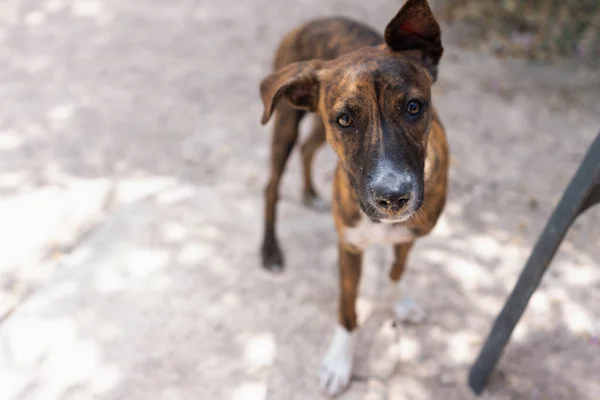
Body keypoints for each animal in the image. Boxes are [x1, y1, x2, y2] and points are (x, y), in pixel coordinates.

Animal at [258, 0, 450, 394]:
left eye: (414, 107)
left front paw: (401, 303)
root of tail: (316, 20)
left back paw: (310, 193)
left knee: (307, 149)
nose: (393, 198)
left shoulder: (410, 235)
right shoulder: (348, 248)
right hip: (284, 120)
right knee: (271, 186)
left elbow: (396, 269)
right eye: (345, 119)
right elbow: (347, 311)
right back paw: (270, 250)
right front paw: (338, 364)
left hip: (314, 125)